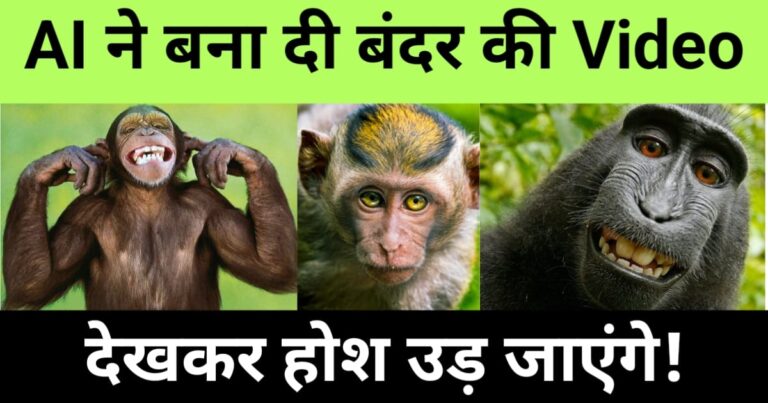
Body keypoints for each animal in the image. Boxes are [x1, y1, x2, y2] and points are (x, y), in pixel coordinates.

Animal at [3, 105, 297, 310]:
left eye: (158, 125)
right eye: (129, 129)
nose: (146, 131)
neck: (148, 199)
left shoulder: (211, 205)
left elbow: (271, 266)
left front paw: (227, 150)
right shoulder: (81, 216)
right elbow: (33, 282)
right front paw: (60, 161)